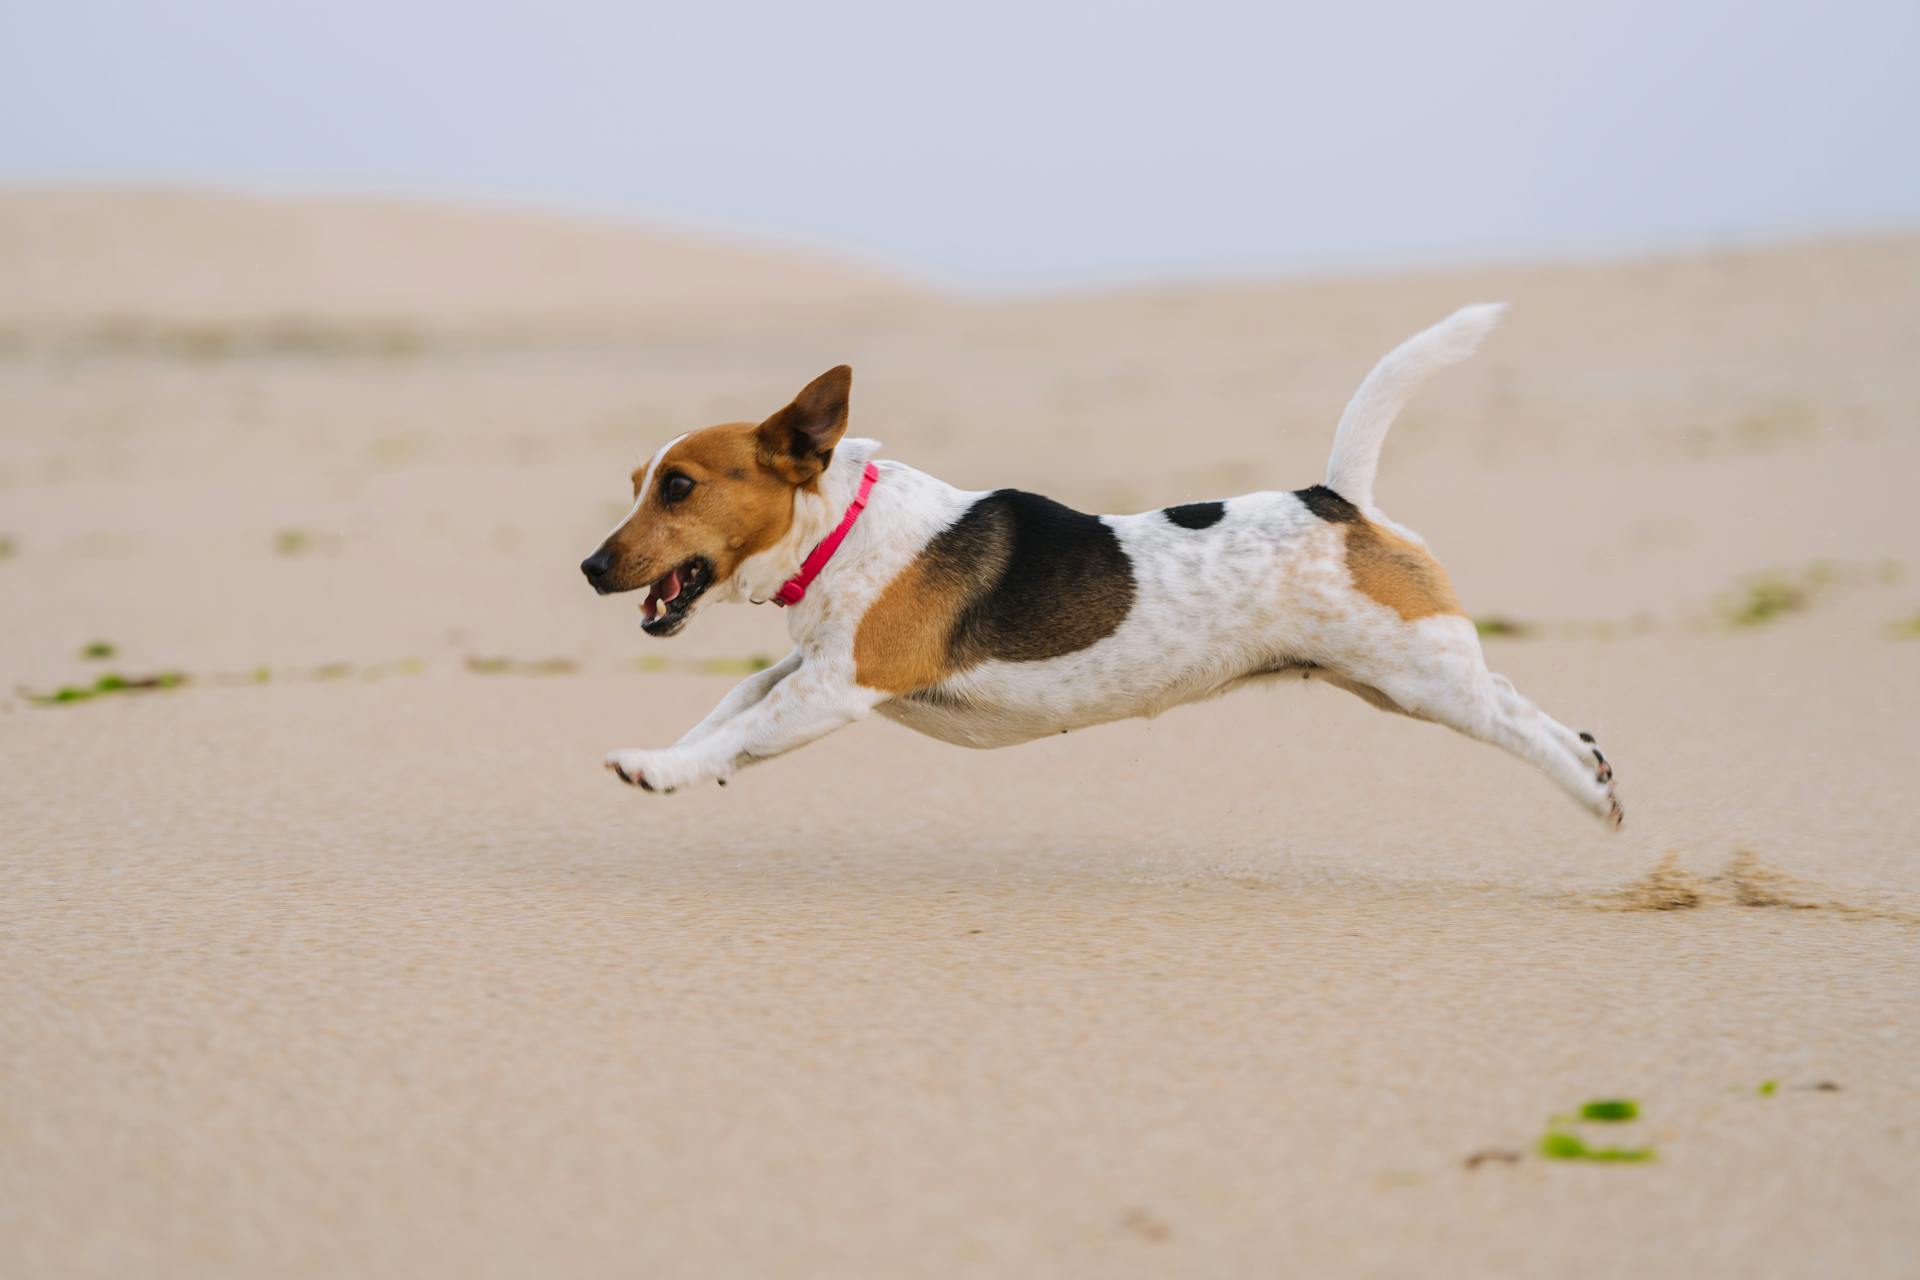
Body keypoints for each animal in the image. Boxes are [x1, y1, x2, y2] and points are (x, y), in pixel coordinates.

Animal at [579, 310, 1620, 832]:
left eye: (678, 486)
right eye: (636, 483)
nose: (589, 567)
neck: (844, 527)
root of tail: (1339, 499)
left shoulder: (839, 685)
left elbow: (741, 726)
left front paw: (660, 769)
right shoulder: (811, 667)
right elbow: (735, 703)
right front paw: (686, 754)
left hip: (1423, 679)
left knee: (1525, 727)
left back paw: (1594, 792)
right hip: (1395, 680)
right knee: (1519, 698)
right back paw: (1597, 765)